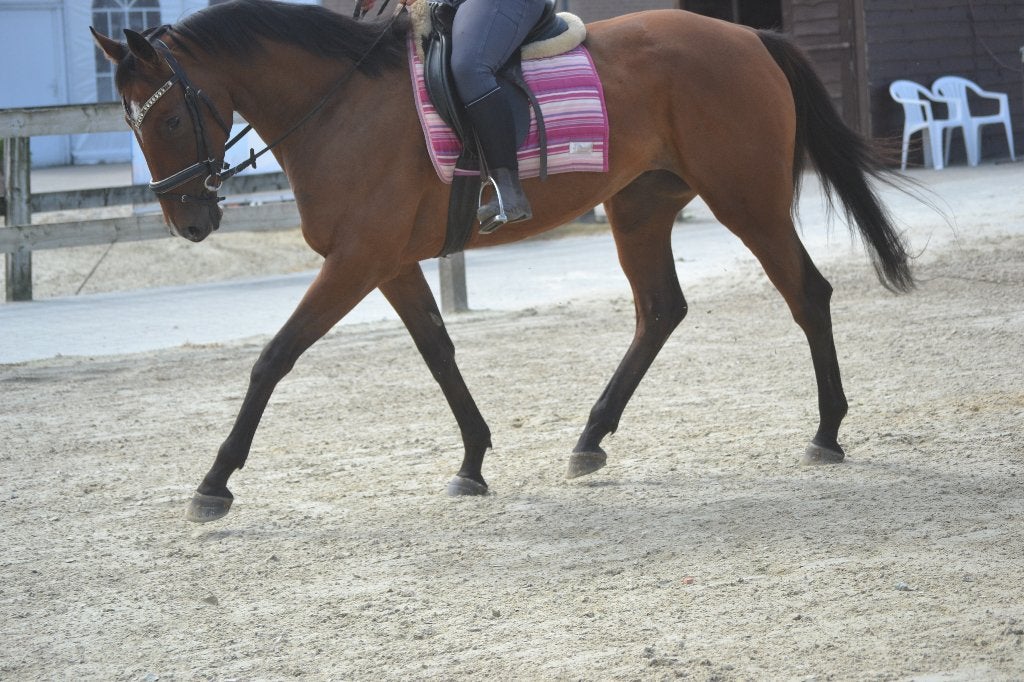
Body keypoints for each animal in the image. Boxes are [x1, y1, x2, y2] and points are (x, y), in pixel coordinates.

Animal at [91, 0, 913, 523]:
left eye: (170, 118)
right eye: (130, 124)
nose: (190, 222)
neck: (339, 106)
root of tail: (747, 38)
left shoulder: (356, 262)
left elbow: (274, 358)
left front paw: (215, 481)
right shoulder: (389, 264)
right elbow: (438, 350)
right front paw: (472, 461)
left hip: (748, 200)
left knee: (807, 293)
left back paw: (827, 432)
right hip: (641, 207)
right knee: (660, 310)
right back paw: (589, 440)